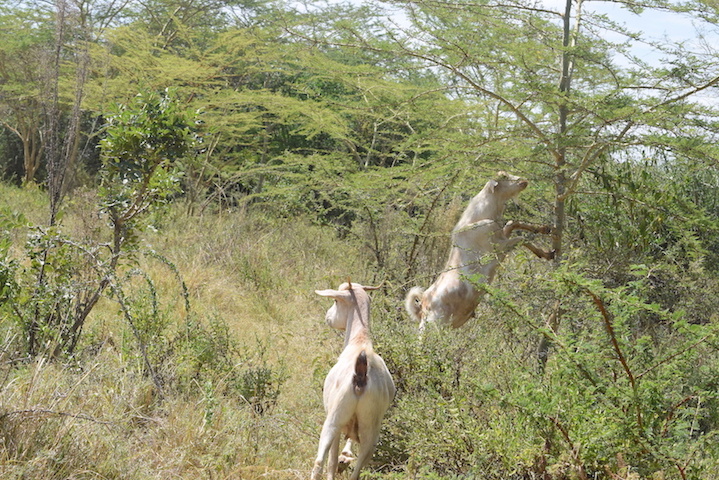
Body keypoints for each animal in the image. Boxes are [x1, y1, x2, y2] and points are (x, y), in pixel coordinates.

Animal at [312, 282, 396, 480]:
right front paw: (346, 457)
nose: (328, 317)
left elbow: (332, 459)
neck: (360, 342)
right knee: (358, 469)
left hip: (334, 420)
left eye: (336, 300)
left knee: (322, 462)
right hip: (370, 429)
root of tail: (361, 375)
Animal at [408, 171, 556, 332]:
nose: (523, 181)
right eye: (503, 177)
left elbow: (513, 223)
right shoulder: (499, 248)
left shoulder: (502, 236)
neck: (480, 218)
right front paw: (547, 254)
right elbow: (521, 238)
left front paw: (544, 228)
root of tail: (422, 305)